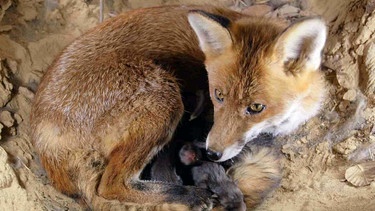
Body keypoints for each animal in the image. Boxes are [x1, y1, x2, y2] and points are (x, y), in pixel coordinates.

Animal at [30, 4, 328, 210]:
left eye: (256, 107)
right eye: (218, 95)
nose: (212, 153)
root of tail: (42, 133)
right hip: (164, 99)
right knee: (110, 185)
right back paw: (189, 195)